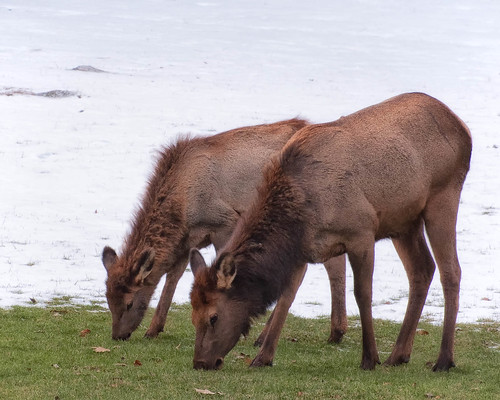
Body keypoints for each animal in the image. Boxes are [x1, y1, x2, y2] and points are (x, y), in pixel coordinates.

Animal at [101, 118, 348, 344]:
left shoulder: (225, 222)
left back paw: (332, 332)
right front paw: (153, 329)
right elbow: (173, 276)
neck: (182, 211)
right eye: (108, 298)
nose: (117, 335)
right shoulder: (188, 240)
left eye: (129, 302)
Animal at [189, 93, 470, 372]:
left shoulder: (362, 232)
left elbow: (362, 293)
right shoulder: (302, 250)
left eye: (213, 317)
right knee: (422, 269)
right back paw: (398, 355)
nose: (200, 362)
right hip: (404, 222)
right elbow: (286, 298)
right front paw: (262, 358)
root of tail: (463, 128)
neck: (300, 214)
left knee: (451, 271)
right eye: (192, 314)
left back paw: (444, 360)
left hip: (443, 196)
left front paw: (370, 358)